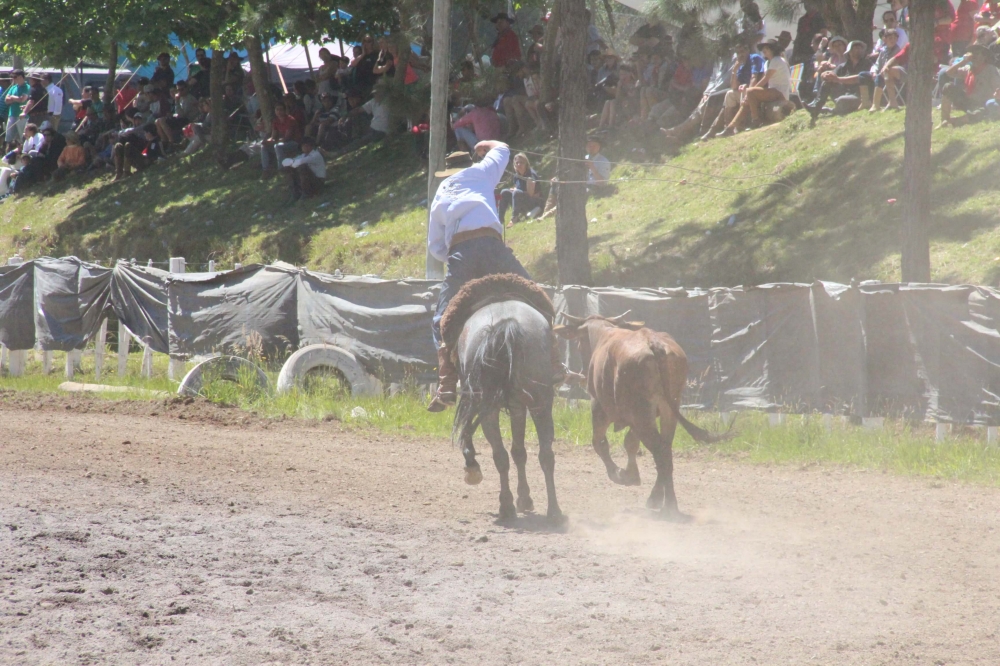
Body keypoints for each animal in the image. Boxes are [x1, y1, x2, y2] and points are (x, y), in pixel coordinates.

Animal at [454, 300, 564, 524]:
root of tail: (506, 324)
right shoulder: (518, 407)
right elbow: (519, 452)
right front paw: (524, 498)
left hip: (491, 408)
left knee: (502, 455)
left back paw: (507, 506)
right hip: (540, 404)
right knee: (543, 455)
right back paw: (553, 511)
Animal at [556, 312, 728, 520]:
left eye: (579, 342)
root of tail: (654, 344)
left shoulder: (599, 407)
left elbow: (600, 443)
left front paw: (620, 474)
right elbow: (631, 443)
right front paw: (631, 473)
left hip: (641, 415)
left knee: (661, 453)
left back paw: (669, 505)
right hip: (666, 411)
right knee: (665, 449)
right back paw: (657, 498)